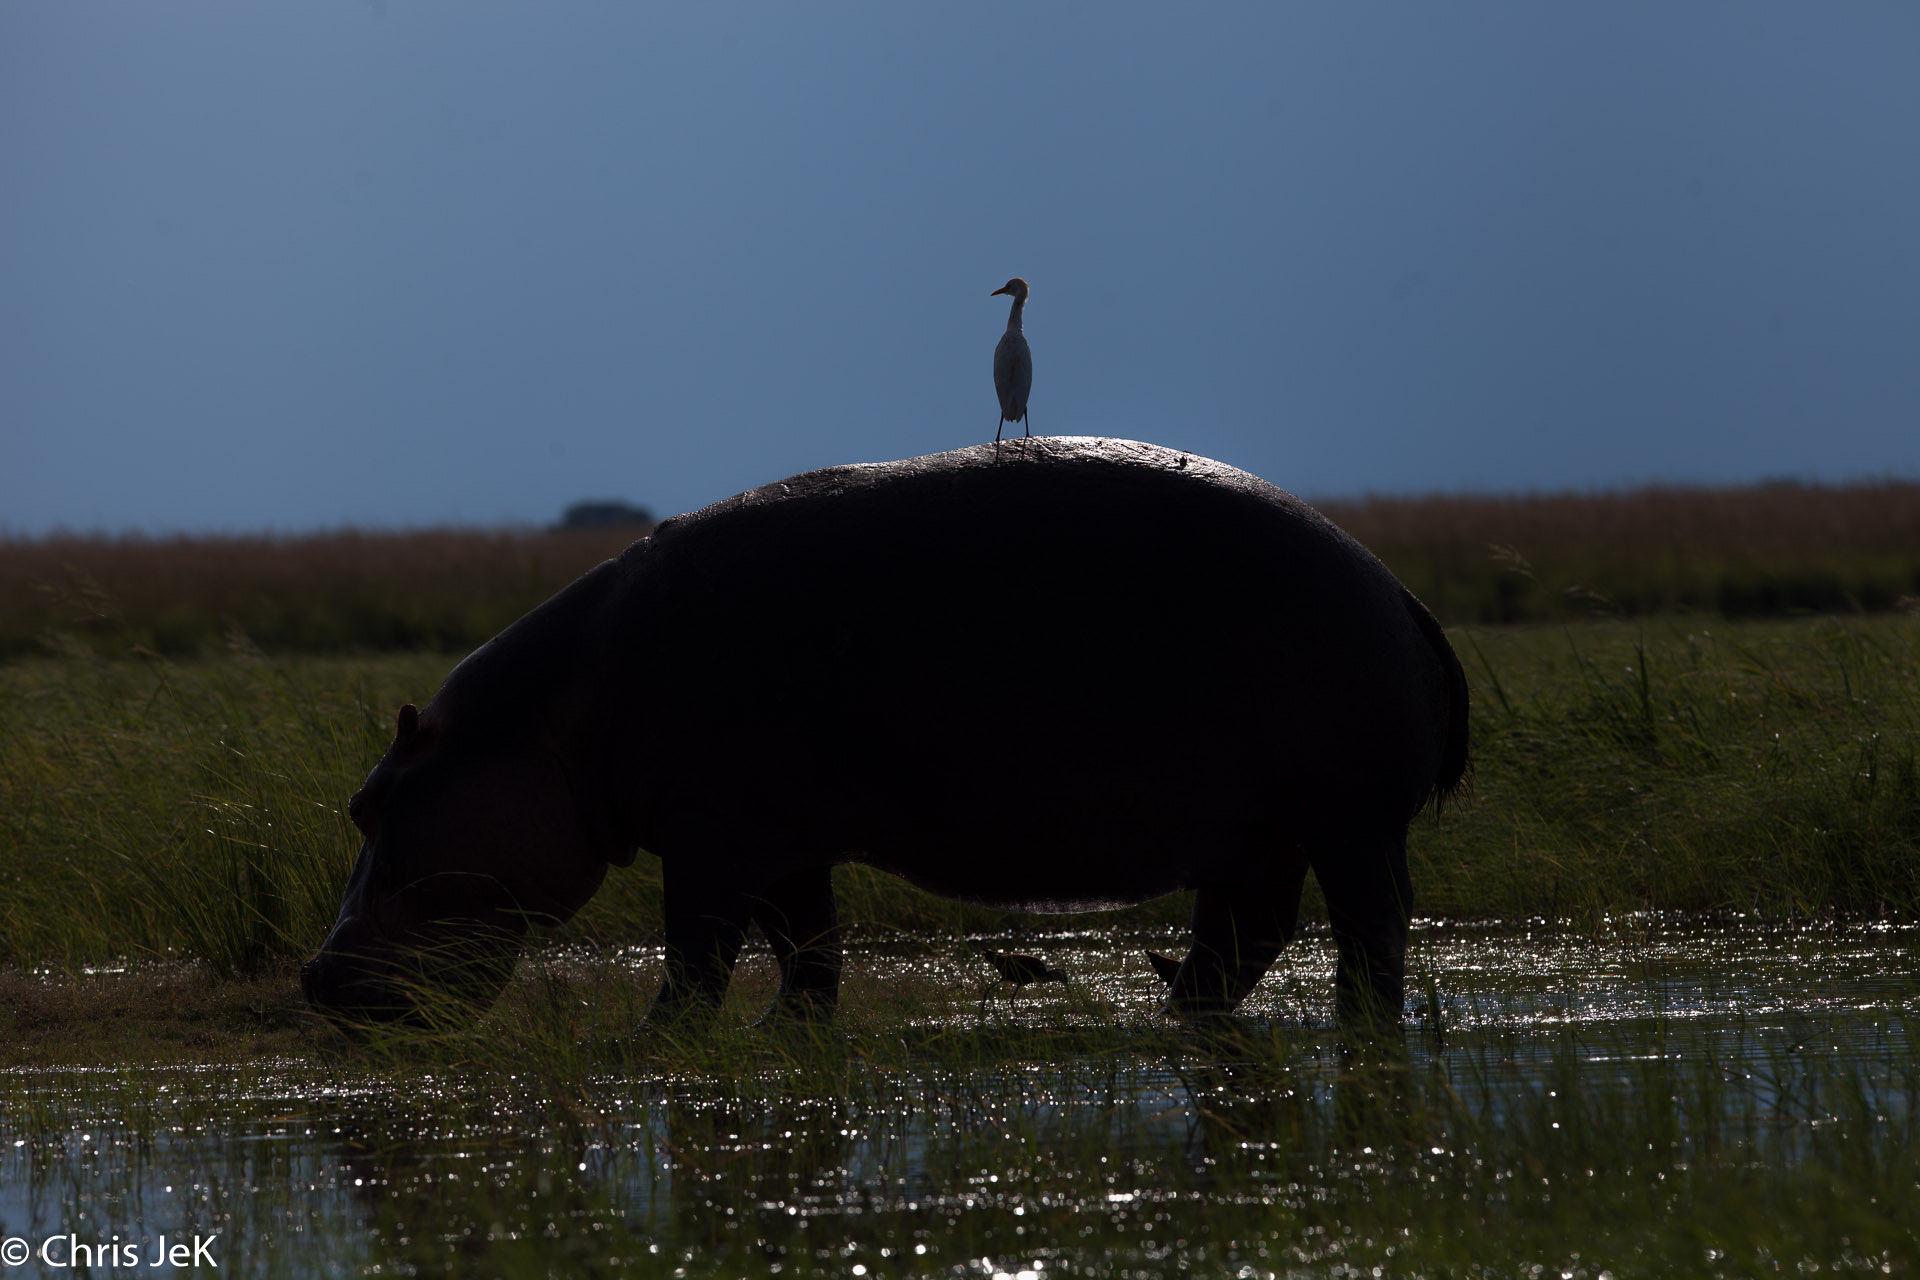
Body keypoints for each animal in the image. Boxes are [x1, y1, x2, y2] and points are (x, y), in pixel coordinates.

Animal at [302, 437, 1469, 1028]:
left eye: (371, 802)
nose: (313, 977)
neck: (547, 723)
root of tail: (1401, 590)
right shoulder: (785, 842)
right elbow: (810, 953)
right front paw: (789, 1034)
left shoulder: (713, 843)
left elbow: (699, 955)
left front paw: (655, 1042)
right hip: (1257, 831)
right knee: (1247, 930)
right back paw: (1180, 1009)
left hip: (1352, 822)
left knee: (1371, 931)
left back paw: (1356, 1025)